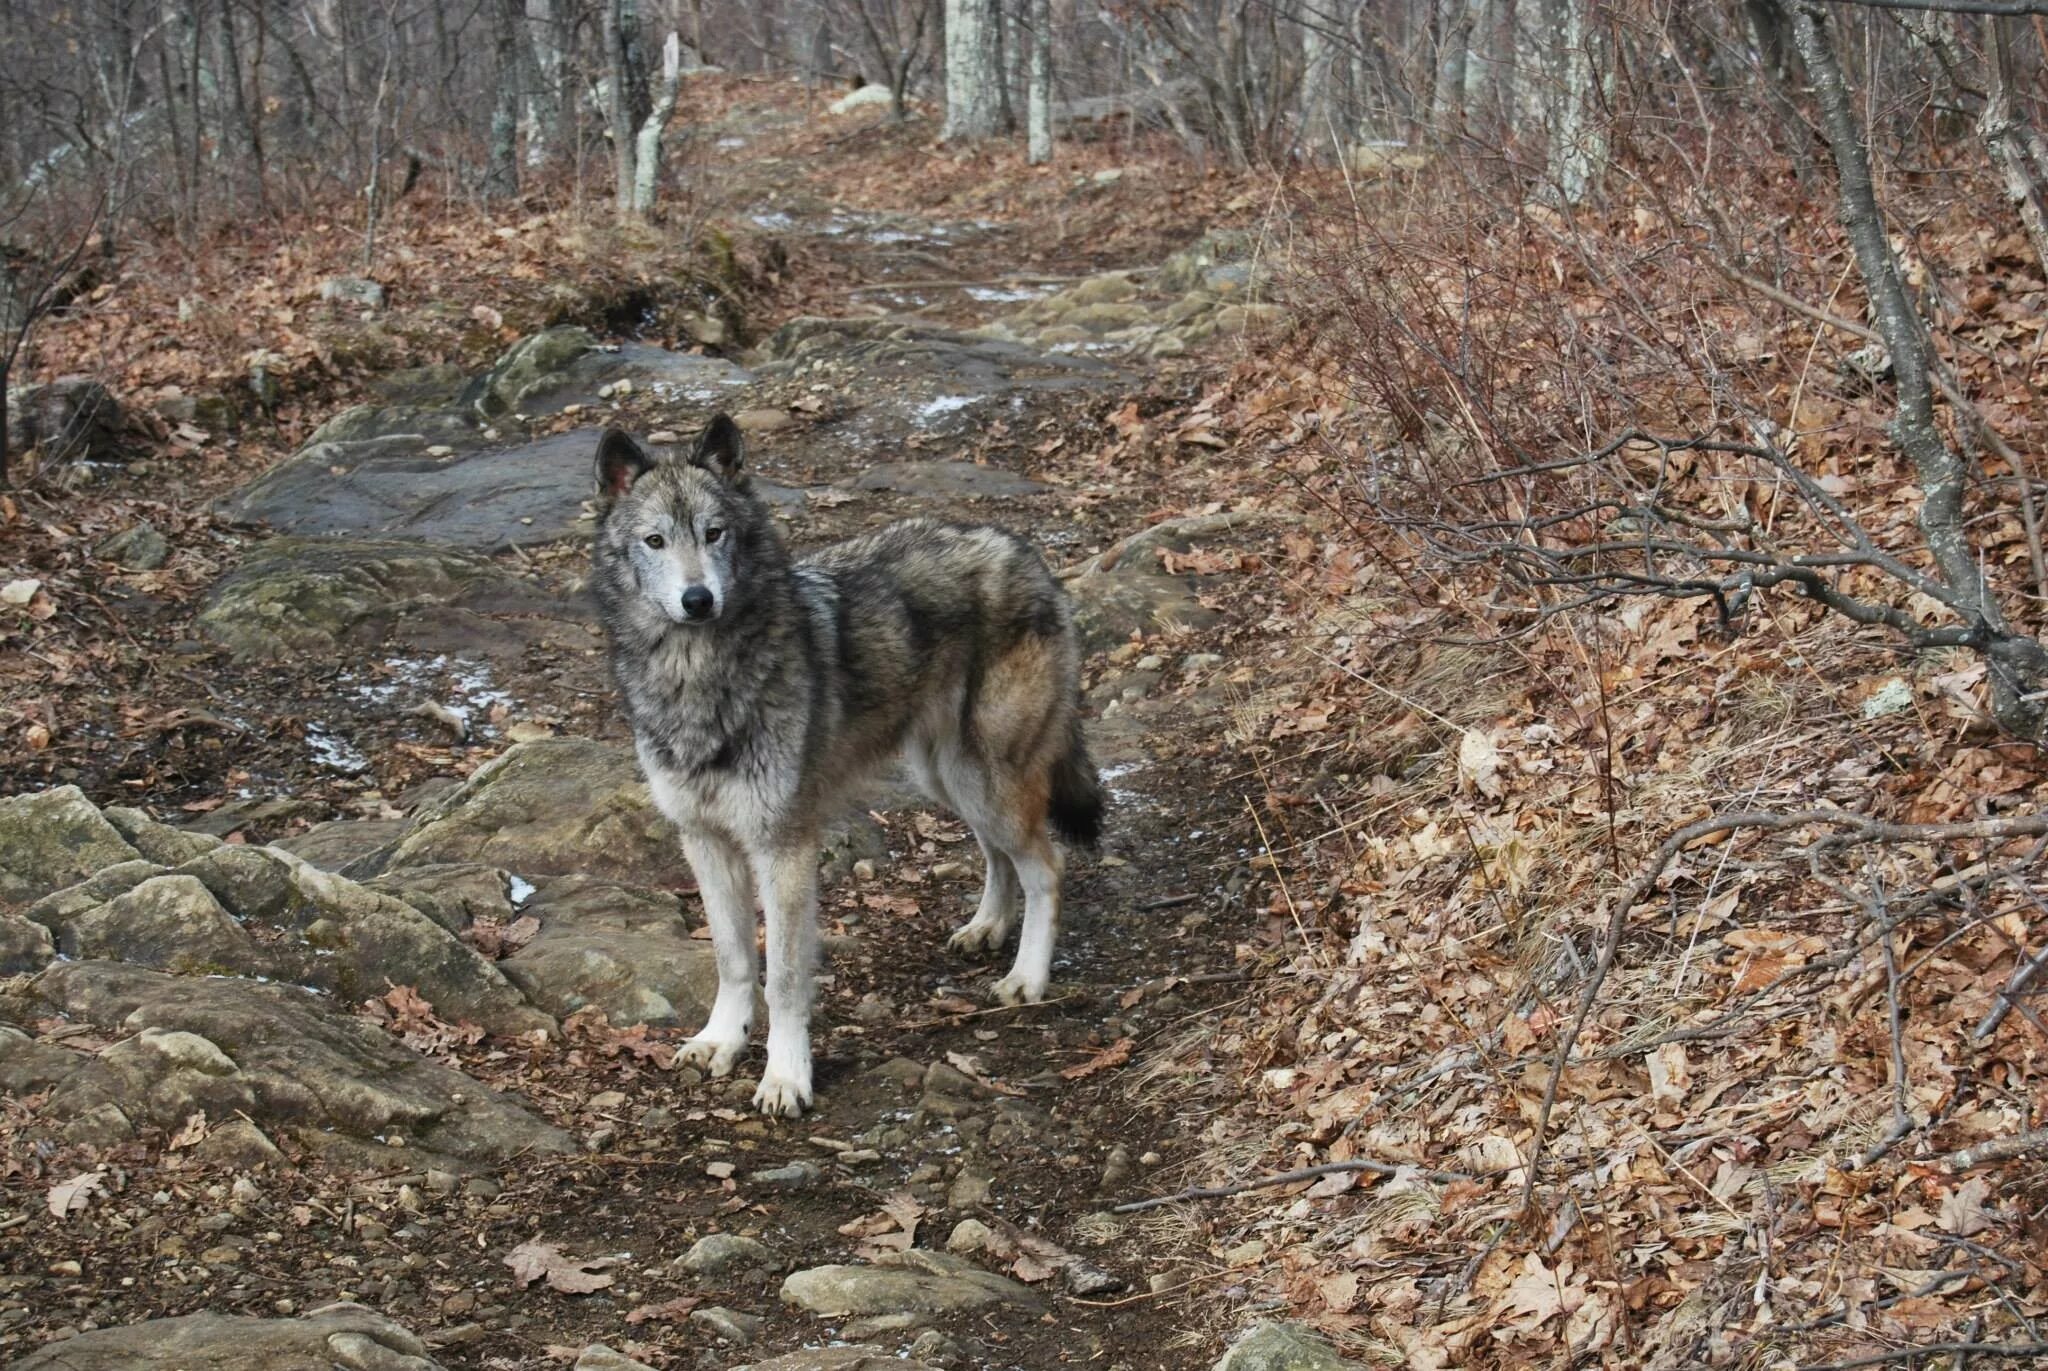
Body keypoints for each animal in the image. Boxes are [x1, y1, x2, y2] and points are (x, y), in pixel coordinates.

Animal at [593, 413, 1105, 1114]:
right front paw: (720, 1041)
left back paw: (1026, 978)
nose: (698, 599)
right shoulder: (703, 840)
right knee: (999, 855)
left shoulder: (783, 848)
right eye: (655, 540)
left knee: (1047, 866)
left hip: (988, 779)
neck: (696, 676)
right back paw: (985, 928)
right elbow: (732, 958)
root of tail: (1025, 552)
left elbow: (783, 976)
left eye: (713, 533)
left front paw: (785, 1077)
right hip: (948, 778)